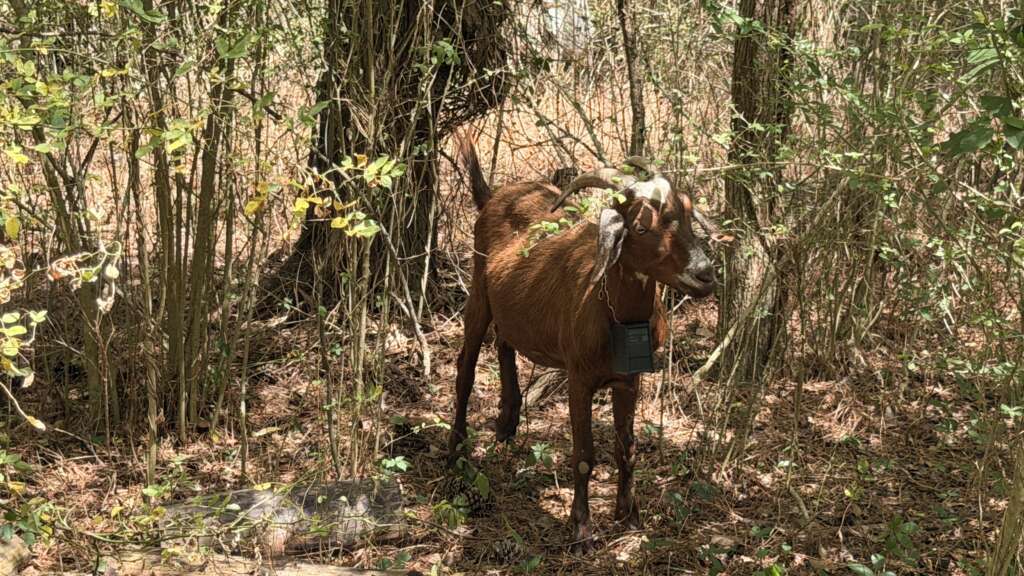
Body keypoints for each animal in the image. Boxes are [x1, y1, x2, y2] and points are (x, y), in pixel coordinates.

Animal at [447, 136, 719, 551]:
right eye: (640, 227)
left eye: (688, 213)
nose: (704, 274)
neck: (614, 314)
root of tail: (494, 195)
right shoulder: (578, 378)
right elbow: (584, 456)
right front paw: (582, 530)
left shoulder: (630, 379)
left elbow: (627, 449)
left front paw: (630, 518)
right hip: (478, 291)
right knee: (466, 366)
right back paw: (455, 452)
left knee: (505, 342)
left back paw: (507, 424)